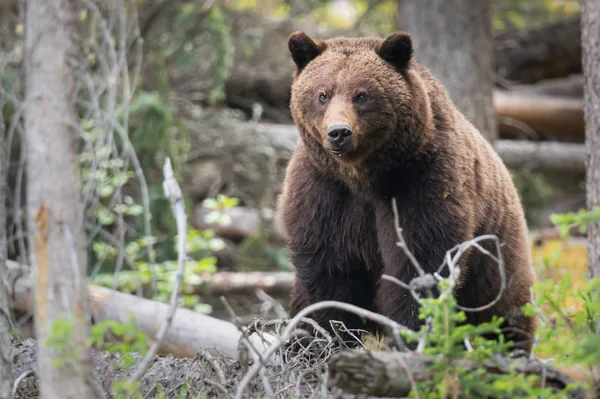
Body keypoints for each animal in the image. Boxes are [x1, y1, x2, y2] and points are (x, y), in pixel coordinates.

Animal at [278, 31, 540, 354]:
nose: (339, 132)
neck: (363, 176)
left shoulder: (422, 182)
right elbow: (329, 273)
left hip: (497, 266)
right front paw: (325, 338)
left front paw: (412, 336)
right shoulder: (323, 191)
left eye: (362, 95)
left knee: (504, 319)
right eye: (322, 94)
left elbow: (419, 264)